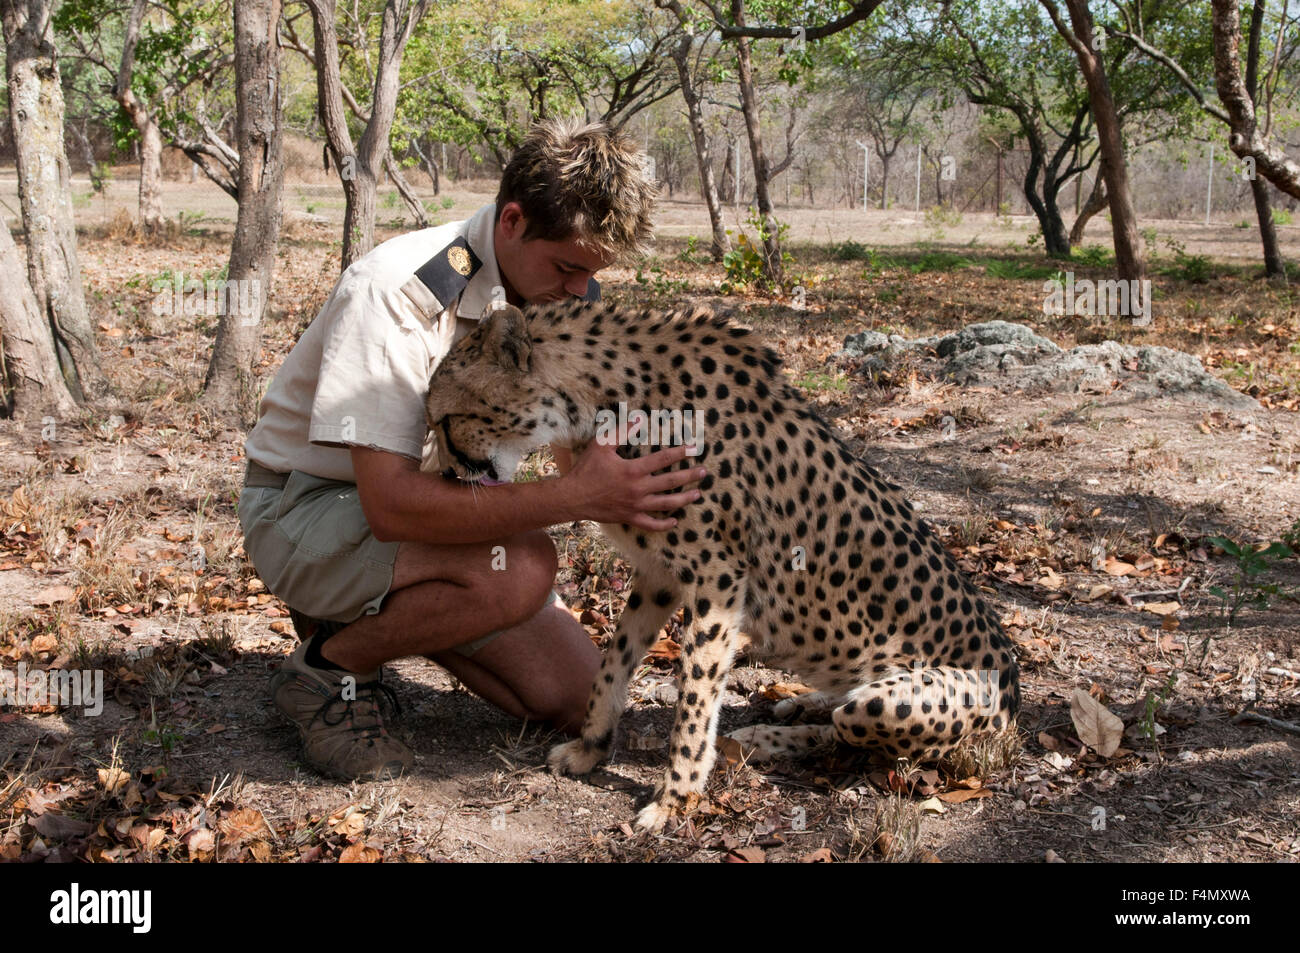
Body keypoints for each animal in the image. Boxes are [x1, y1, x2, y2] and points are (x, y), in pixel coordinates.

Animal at [423, 301, 1013, 826]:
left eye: (447, 419)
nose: (448, 477)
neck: (601, 400)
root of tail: (1014, 679)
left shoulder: (718, 578)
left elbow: (696, 692)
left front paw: (675, 799)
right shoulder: (660, 573)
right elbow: (614, 660)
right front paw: (591, 746)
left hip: (895, 703)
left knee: (854, 734)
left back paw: (766, 736)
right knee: (839, 711)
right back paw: (801, 703)